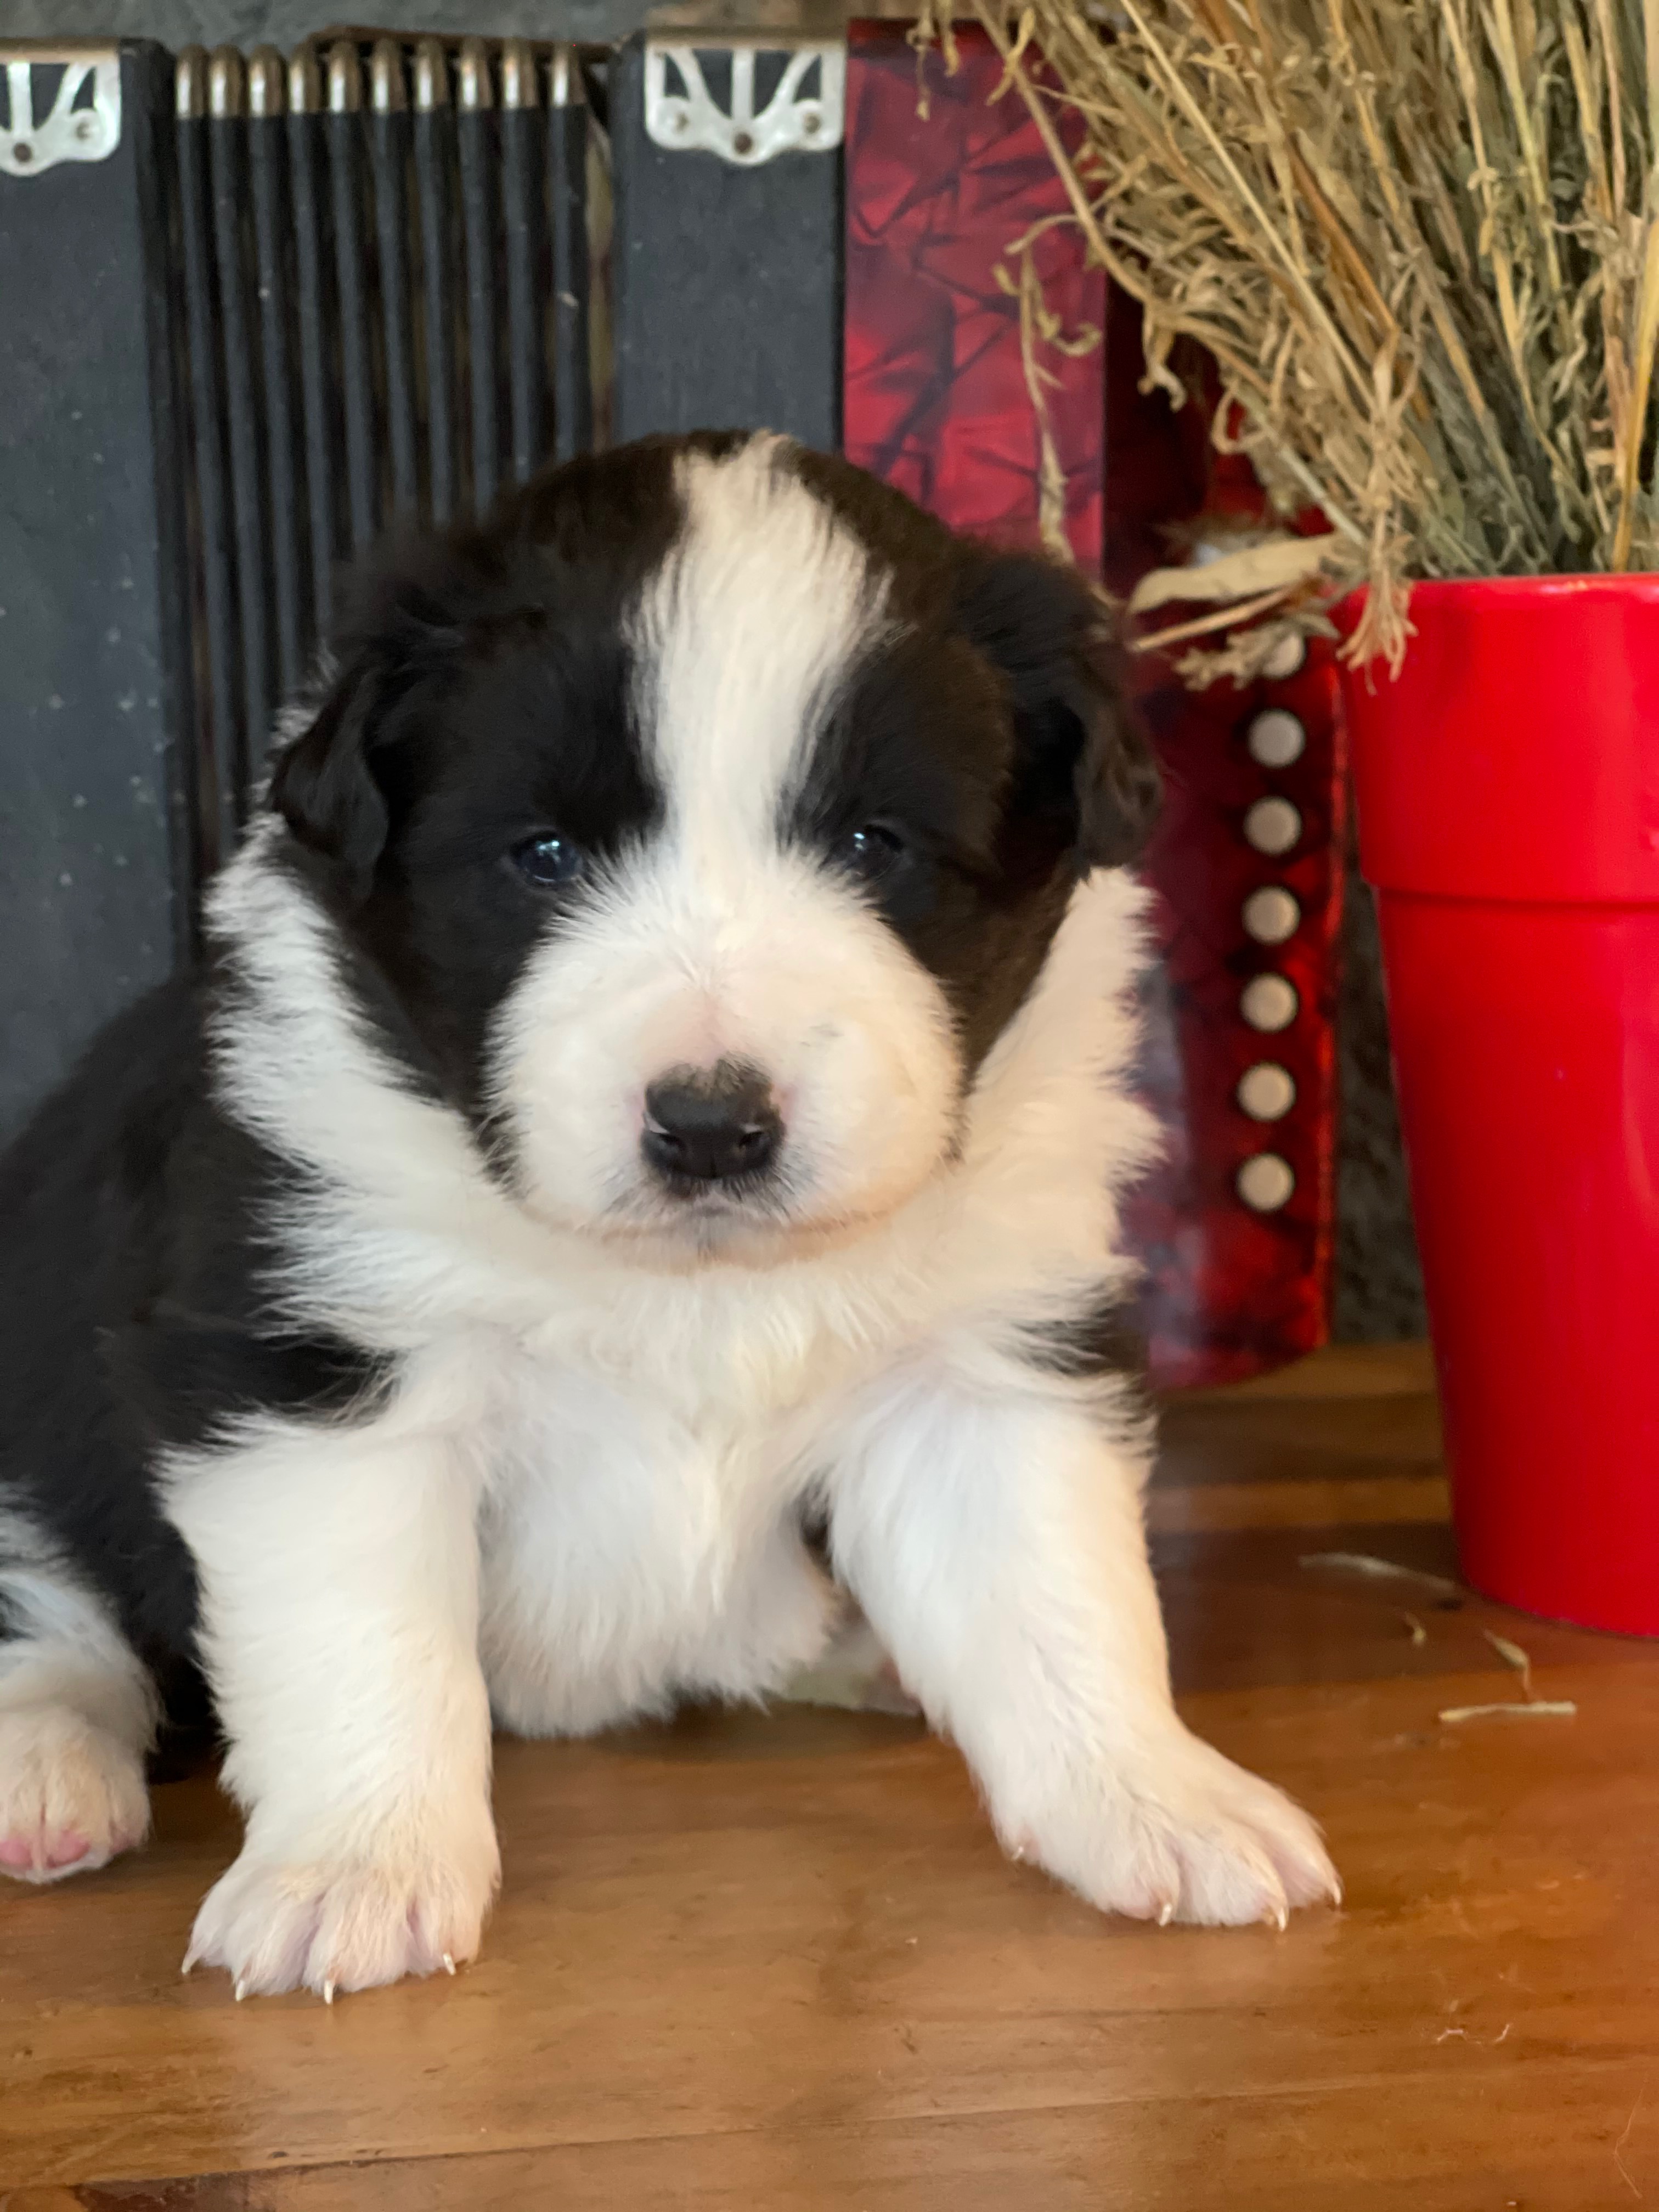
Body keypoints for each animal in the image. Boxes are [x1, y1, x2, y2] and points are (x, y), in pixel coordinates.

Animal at [0, 427, 1336, 1990]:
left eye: (875, 843)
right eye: (544, 855)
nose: (709, 1127)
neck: (693, 1286)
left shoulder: (987, 1362)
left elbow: (1063, 1600)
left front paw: (1160, 1796)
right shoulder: (316, 1367)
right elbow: (362, 1637)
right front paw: (358, 1868)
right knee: (54, 1604)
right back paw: (43, 1773)